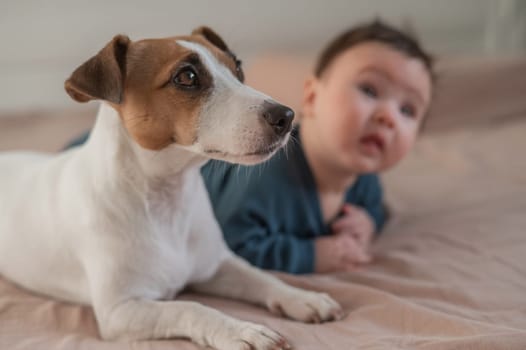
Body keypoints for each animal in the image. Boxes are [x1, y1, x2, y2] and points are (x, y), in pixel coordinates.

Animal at [0, 28, 344, 350]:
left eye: (238, 68)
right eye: (187, 77)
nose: (286, 116)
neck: (167, 198)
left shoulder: (217, 265)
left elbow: (261, 277)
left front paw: (302, 297)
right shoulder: (121, 310)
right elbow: (190, 307)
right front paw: (242, 330)